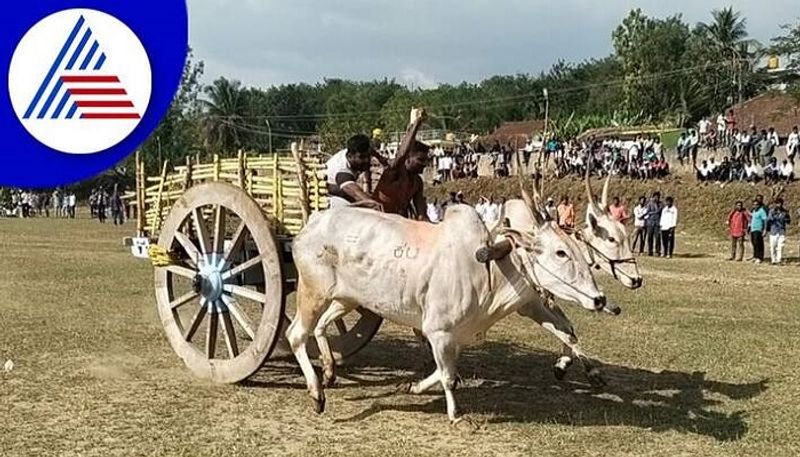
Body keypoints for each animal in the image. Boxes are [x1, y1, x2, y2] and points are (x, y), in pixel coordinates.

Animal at [288, 201, 608, 422]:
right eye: (560, 252)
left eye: (578, 249)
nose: (600, 299)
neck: (487, 269)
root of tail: (313, 221)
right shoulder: (438, 331)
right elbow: (449, 377)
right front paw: (455, 415)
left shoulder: (460, 335)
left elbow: (447, 372)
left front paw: (415, 387)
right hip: (312, 293)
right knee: (296, 335)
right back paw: (316, 392)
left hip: (346, 299)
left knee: (321, 327)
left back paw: (330, 370)